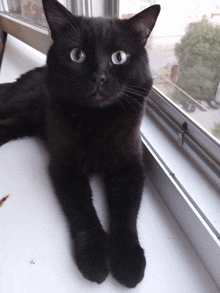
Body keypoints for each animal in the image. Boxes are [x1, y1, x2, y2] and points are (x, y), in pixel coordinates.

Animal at [0, 0, 160, 286]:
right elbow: (82, 210)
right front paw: (94, 257)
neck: (97, 120)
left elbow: (126, 213)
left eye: (119, 57)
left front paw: (127, 260)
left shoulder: (129, 166)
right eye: (77, 55)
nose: (99, 77)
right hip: (18, 105)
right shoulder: (66, 167)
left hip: (22, 123)